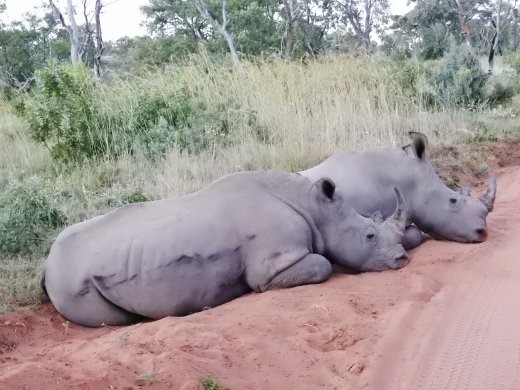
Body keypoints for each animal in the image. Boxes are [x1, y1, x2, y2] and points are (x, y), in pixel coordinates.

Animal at [42, 170, 408, 326]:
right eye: (370, 235)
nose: (403, 259)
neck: (317, 209)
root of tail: (46, 264)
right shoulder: (270, 267)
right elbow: (323, 265)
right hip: (70, 283)